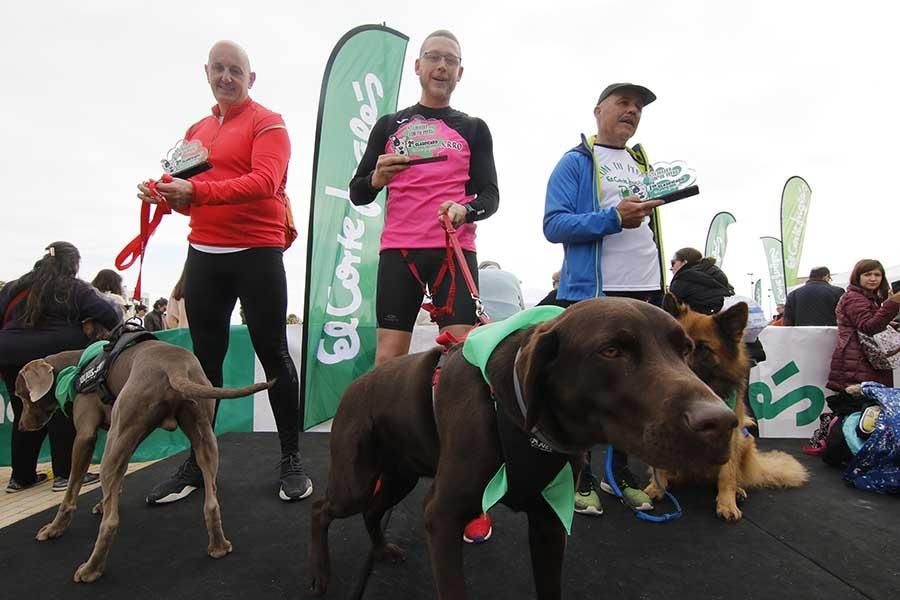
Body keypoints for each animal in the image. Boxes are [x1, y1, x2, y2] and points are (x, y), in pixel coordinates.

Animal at [15, 340, 270, 584]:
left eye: (21, 395)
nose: (20, 426)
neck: (75, 365)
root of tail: (174, 367)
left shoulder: (86, 438)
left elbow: (71, 491)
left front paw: (55, 528)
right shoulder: (121, 438)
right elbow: (117, 481)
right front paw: (103, 502)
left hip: (119, 436)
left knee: (110, 523)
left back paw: (91, 570)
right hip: (201, 434)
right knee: (211, 502)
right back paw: (219, 546)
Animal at [310, 298, 740, 596]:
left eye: (687, 350)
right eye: (611, 351)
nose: (722, 423)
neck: (522, 417)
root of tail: (355, 384)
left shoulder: (548, 521)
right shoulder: (442, 516)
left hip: (400, 475)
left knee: (373, 510)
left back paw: (381, 550)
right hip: (355, 480)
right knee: (322, 509)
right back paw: (320, 576)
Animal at [648, 296, 808, 520]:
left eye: (703, 348)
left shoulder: (729, 434)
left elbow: (727, 475)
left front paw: (727, 503)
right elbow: (658, 464)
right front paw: (656, 486)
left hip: (746, 440)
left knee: (735, 475)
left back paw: (738, 490)